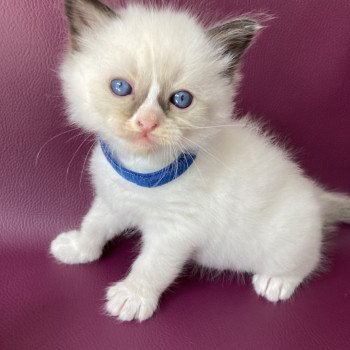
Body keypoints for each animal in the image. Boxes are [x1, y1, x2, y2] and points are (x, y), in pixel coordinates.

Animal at [50, 0, 350, 322]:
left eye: (181, 99)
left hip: (285, 243)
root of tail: (315, 195)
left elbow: (151, 265)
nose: (147, 122)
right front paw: (78, 248)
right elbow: (94, 225)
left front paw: (132, 296)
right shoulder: (112, 201)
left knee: (307, 260)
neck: (141, 171)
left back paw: (275, 283)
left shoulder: (175, 230)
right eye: (120, 87)